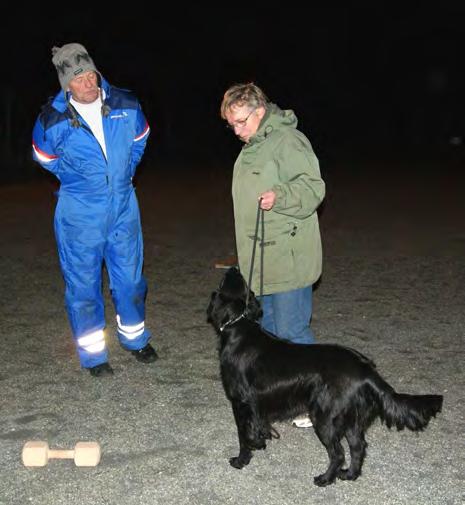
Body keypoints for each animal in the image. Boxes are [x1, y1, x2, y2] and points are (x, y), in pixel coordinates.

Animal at [207, 268, 442, 484]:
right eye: (242, 282)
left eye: (224, 281)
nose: (233, 268)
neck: (239, 327)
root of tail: (365, 370)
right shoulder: (257, 405)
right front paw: (261, 441)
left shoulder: (240, 402)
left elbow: (242, 435)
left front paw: (240, 460)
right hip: (351, 419)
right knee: (358, 447)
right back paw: (349, 475)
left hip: (325, 417)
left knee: (338, 453)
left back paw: (325, 479)